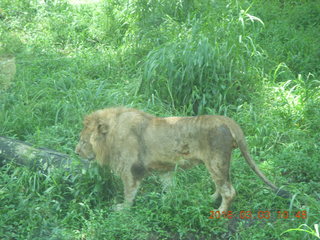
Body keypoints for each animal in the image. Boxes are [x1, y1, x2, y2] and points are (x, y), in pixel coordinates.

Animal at [75, 107, 290, 212]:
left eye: (83, 141)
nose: (76, 152)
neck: (110, 136)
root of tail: (225, 119)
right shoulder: (165, 169)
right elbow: (169, 188)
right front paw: (169, 202)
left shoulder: (131, 169)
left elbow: (129, 193)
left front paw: (123, 209)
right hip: (215, 163)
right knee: (221, 186)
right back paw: (209, 199)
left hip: (216, 161)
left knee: (229, 191)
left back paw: (219, 212)